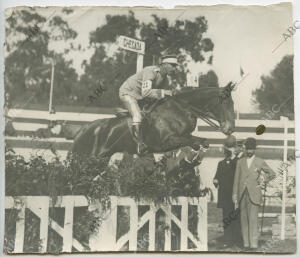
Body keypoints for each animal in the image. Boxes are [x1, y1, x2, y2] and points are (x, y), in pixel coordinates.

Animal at [71, 82, 236, 158]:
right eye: (225, 102)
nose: (230, 128)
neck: (181, 108)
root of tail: (82, 130)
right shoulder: (168, 141)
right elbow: (191, 141)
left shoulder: (184, 136)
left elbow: (201, 141)